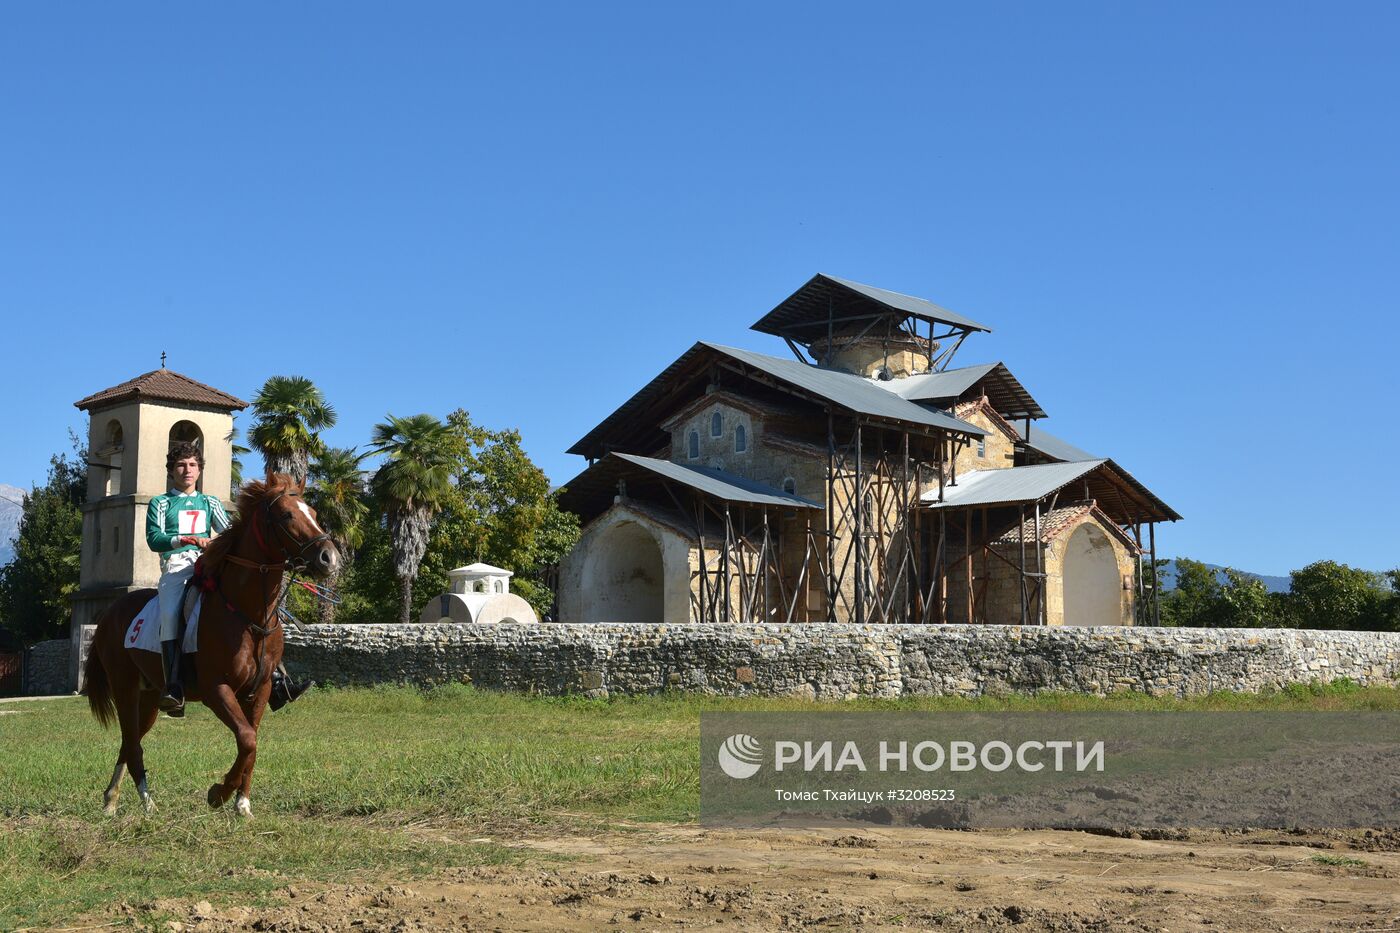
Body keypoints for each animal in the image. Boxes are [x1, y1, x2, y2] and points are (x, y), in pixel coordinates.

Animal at [86, 476, 340, 818]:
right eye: (287, 515)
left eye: (312, 512)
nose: (329, 558)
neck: (247, 614)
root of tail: (110, 613)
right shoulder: (216, 689)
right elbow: (247, 738)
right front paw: (219, 793)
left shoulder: (259, 690)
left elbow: (252, 742)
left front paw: (242, 803)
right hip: (124, 688)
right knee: (133, 743)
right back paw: (146, 802)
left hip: (150, 697)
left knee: (130, 741)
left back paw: (112, 798)